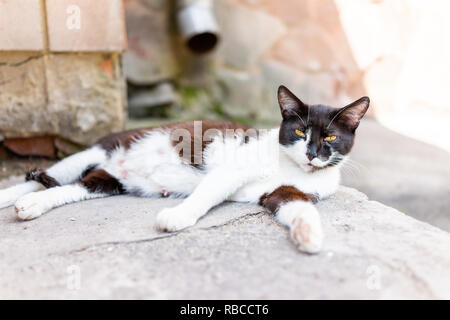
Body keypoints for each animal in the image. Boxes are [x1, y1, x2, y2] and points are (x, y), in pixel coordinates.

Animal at [0, 86, 368, 254]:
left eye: (331, 137)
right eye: (300, 132)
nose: (312, 154)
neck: (294, 168)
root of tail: (113, 164)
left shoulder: (287, 192)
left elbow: (297, 206)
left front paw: (309, 236)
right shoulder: (233, 168)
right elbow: (207, 192)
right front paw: (177, 217)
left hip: (109, 182)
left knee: (71, 187)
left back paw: (33, 204)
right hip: (103, 145)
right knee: (53, 174)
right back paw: (13, 196)